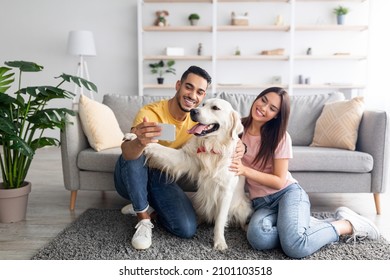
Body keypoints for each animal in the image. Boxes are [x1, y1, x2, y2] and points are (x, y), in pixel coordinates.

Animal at [144, 98, 253, 249]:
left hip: (243, 208)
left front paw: (219, 242)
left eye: (215, 108)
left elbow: (220, 221)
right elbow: (160, 148)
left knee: (241, 221)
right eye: (203, 104)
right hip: (198, 201)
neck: (213, 148)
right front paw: (137, 137)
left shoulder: (225, 192)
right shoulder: (185, 157)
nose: (193, 111)